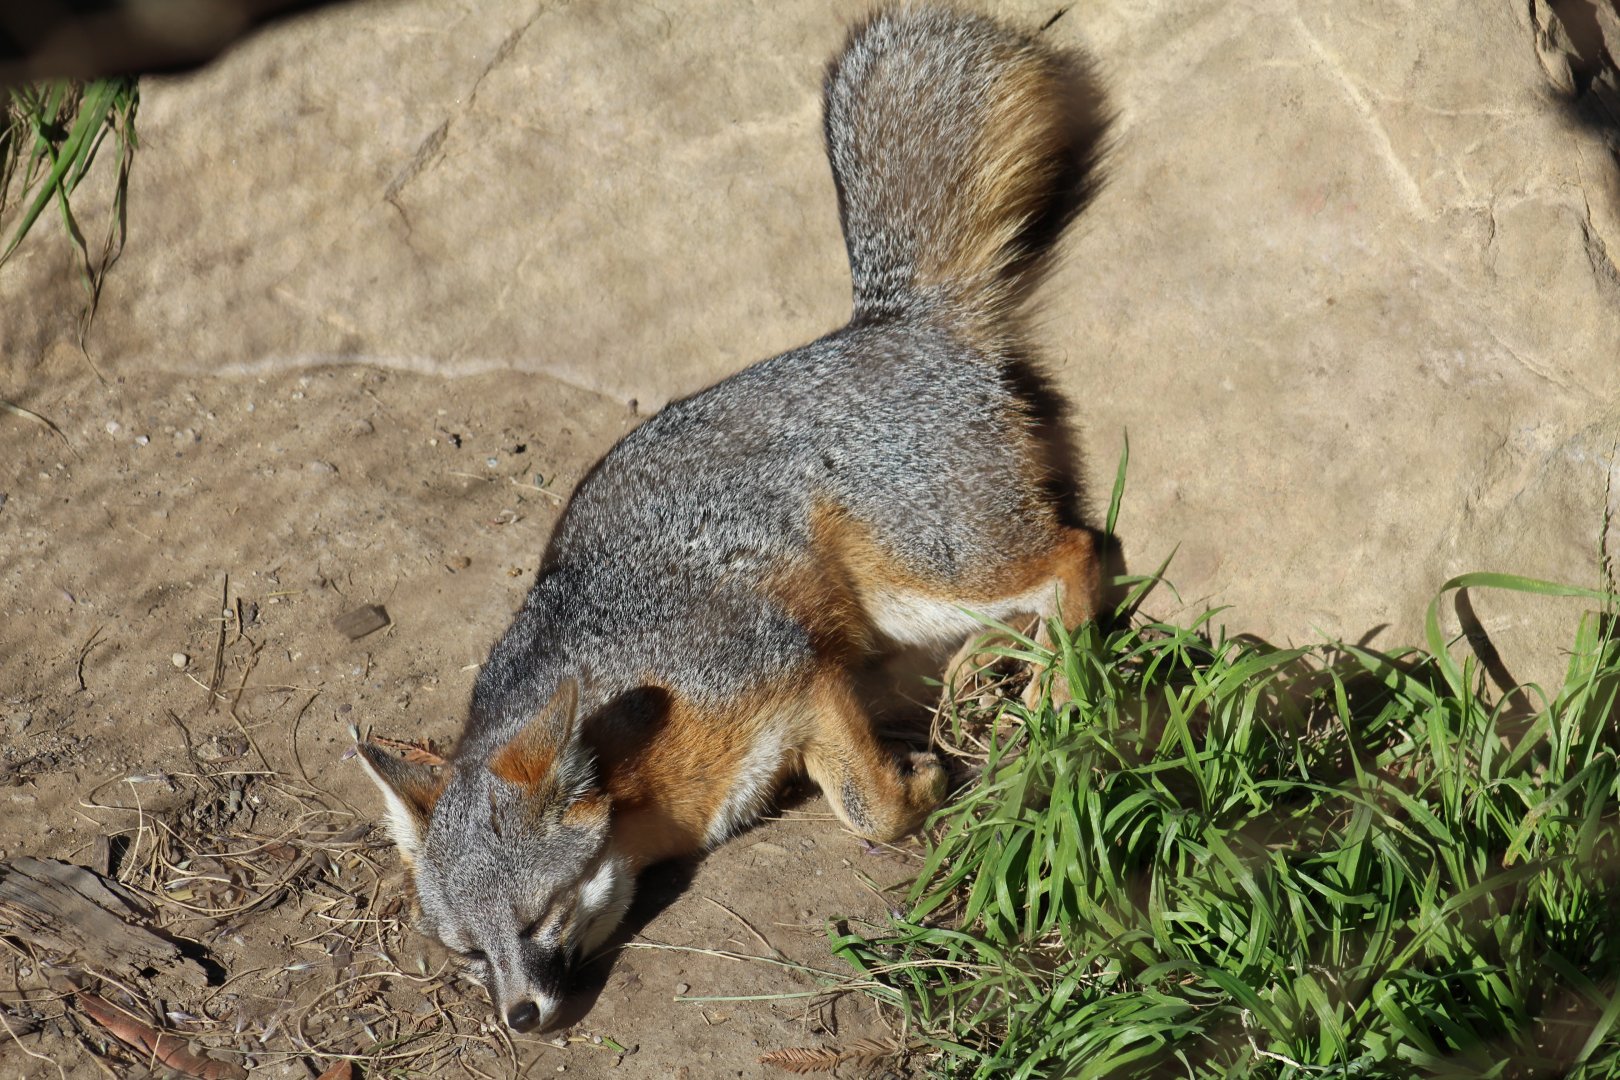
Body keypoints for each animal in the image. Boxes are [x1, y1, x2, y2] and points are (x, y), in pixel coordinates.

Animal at [358, 3, 1111, 1034]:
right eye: (469, 953)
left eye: (541, 918)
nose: (520, 1018)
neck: (647, 771)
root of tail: (887, 322)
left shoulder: (792, 667)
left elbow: (863, 806)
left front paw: (914, 787)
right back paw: (998, 666)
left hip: (918, 573)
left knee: (1075, 552)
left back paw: (1059, 688)